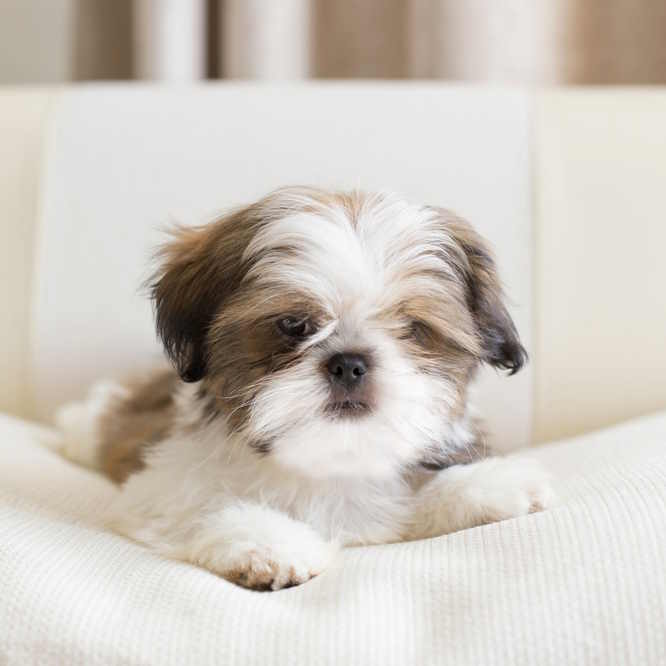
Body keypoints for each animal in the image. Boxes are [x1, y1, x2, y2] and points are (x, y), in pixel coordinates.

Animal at [57, 185, 552, 588]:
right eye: (294, 325)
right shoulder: (161, 487)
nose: (349, 364)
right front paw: (268, 544)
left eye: (413, 329)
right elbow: (202, 504)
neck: (329, 460)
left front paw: (489, 485)